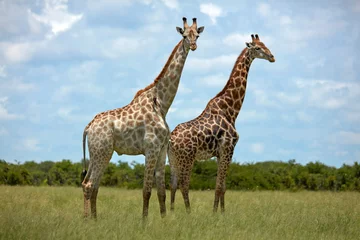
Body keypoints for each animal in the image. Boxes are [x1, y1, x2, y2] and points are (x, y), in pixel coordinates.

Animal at [82, 17, 205, 218]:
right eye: (185, 35)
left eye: (198, 35)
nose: (193, 46)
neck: (162, 104)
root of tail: (88, 126)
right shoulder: (151, 149)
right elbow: (147, 191)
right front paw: (144, 221)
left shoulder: (162, 151)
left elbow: (161, 192)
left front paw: (164, 220)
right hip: (102, 152)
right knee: (90, 184)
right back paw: (88, 220)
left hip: (96, 153)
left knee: (90, 185)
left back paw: (93, 219)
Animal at [169, 33, 276, 212]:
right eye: (258, 48)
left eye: (266, 45)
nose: (272, 57)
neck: (231, 110)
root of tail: (171, 140)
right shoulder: (228, 148)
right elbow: (219, 186)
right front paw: (216, 213)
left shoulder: (220, 153)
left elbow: (222, 186)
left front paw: (221, 212)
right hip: (187, 158)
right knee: (184, 185)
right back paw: (188, 213)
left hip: (172, 159)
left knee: (173, 185)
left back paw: (170, 213)